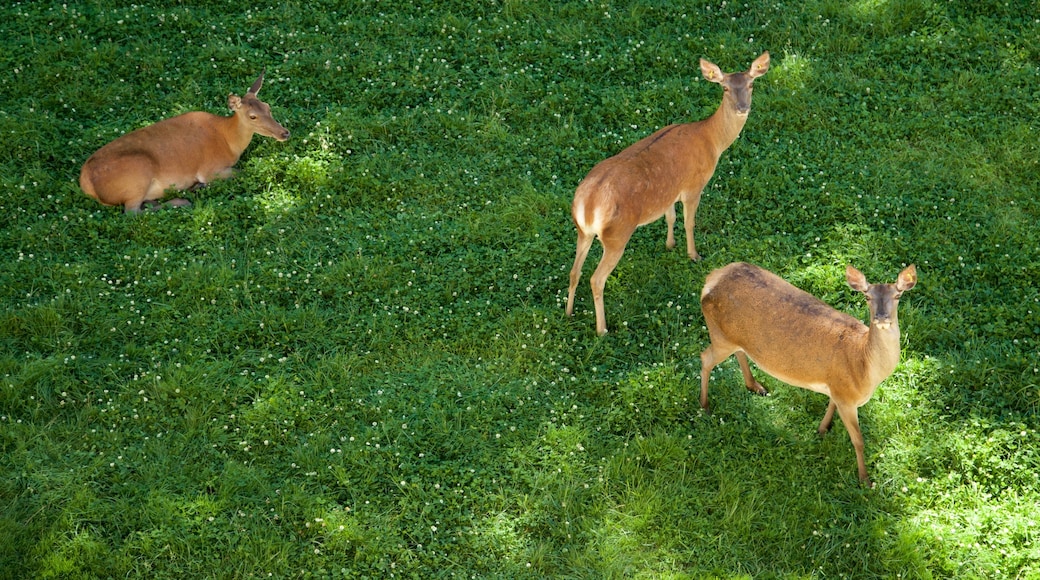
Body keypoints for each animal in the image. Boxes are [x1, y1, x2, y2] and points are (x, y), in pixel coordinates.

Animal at [78, 68, 291, 214]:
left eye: (268, 107)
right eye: (252, 116)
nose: (284, 133)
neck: (230, 142)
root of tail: (87, 185)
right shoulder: (210, 169)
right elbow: (243, 172)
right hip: (138, 171)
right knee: (132, 212)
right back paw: (182, 200)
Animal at [565, 52, 769, 338]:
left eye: (751, 84)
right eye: (725, 88)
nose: (743, 107)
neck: (712, 141)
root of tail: (587, 204)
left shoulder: (670, 191)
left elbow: (670, 217)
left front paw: (670, 244)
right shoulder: (694, 184)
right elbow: (689, 222)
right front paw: (693, 255)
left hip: (582, 231)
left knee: (574, 271)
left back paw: (568, 312)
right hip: (616, 235)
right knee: (596, 278)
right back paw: (602, 329)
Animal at [698, 264, 919, 486]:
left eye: (898, 295)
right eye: (867, 296)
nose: (881, 317)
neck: (863, 367)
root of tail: (710, 279)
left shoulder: (837, 388)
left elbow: (831, 404)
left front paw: (822, 430)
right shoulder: (847, 397)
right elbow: (859, 440)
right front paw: (865, 479)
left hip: (730, 337)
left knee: (738, 351)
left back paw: (756, 386)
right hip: (719, 336)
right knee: (705, 358)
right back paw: (705, 405)